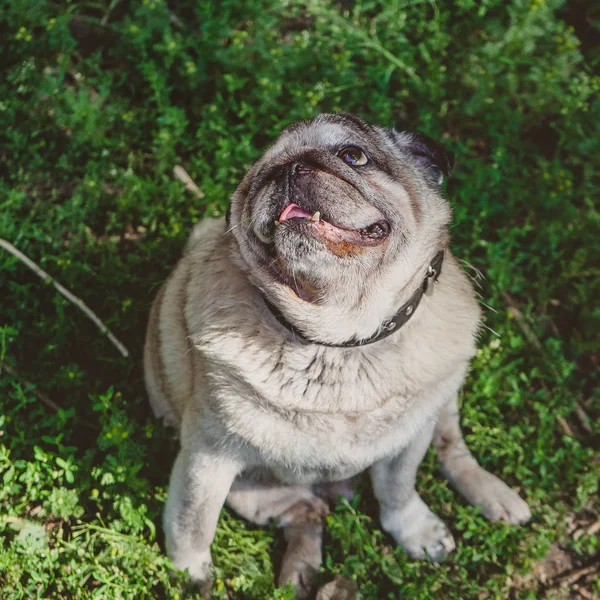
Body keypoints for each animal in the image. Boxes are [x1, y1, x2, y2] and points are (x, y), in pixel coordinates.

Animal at [144, 113, 528, 600]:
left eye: (352, 156)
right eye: (259, 177)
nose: (288, 170)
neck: (340, 342)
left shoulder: (408, 440)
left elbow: (398, 489)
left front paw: (414, 530)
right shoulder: (208, 457)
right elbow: (192, 523)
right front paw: (189, 575)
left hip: (442, 403)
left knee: (451, 447)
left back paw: (494, 495)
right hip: (253, 491)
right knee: (307, 515)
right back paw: (299, 574)